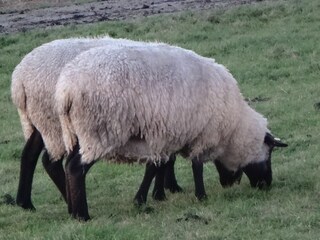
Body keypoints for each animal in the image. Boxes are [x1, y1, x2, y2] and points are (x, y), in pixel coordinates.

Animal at [11, 36, 185, 211]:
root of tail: (20, 78)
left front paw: (165, 188)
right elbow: (163, 159)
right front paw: (166, 189)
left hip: (42, 121)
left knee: (30, 154)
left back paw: (25, 202)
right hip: (55, 123)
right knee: (51, 161)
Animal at [55, 44, 288, 220]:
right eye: (269, 154)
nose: (266, 185)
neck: (231, 128)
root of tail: (65, 90)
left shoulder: (166, 134)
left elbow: (157, 167)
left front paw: (151, 196)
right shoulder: (199, 134)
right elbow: (195, 166)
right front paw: (201, 196)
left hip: (76, 133)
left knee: (67, 165)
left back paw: (71, 211)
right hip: (99, 131)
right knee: (76, 169)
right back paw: (82, 215)